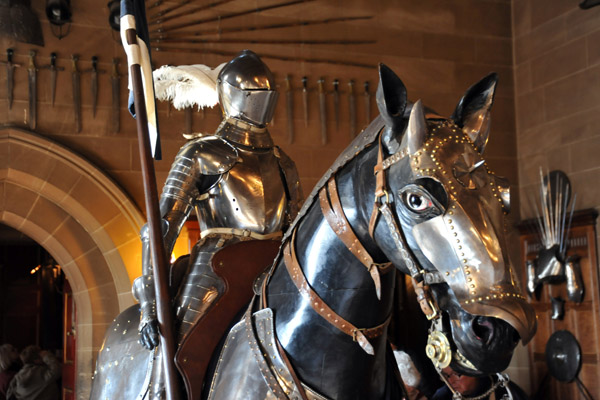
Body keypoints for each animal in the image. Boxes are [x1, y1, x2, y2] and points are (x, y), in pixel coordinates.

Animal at [89, 64, 536, 398]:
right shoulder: (193, 155)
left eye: (504, 195)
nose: (498, 332)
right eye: (417, 199)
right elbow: (163, 223)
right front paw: (153, 324)